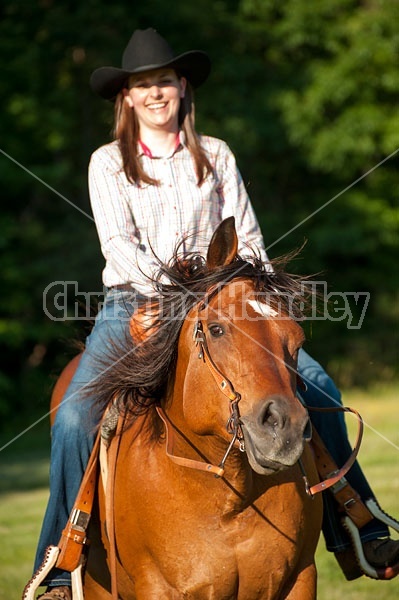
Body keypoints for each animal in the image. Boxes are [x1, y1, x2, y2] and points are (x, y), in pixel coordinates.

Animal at [51, 218, 324, 596]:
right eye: (216, 329)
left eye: (297, 339)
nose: (285, 428)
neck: (228, 501)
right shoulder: (158, 588)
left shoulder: (302, 577)